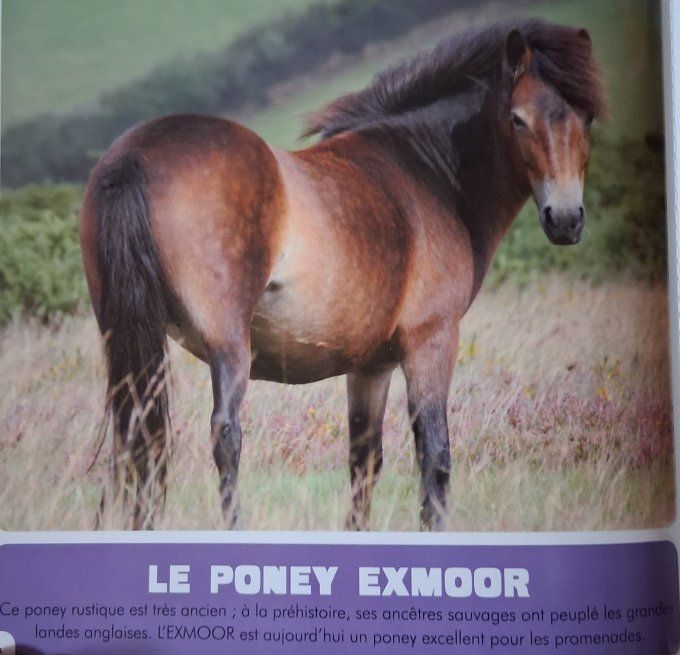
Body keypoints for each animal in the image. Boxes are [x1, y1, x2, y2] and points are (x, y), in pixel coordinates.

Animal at [79, 19, 606, 530]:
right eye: (518, 119)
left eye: (586, 118)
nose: (565, 219)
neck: (427, 172)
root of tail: (133, 157)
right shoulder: (431, 342)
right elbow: (434, 456)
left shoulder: (370, 367)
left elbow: (363, 462)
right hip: (229, 348)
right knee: (224, 434)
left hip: (129, 340)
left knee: (131, 435)